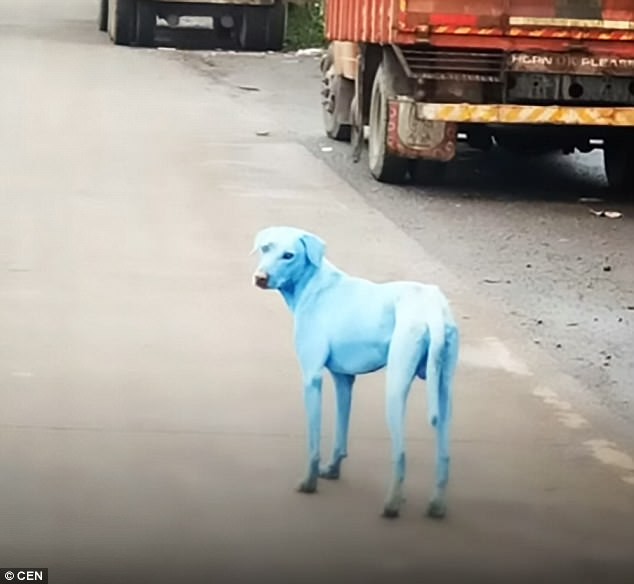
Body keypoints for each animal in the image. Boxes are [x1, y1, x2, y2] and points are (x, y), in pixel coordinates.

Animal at [251, 226, 460, 516]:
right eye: (266, 248)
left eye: (289, 255)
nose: (260, 278)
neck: (312, 284)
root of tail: (433, 310)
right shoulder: (344, 380)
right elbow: (341, 431)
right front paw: (332, 469)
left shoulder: (312, 379)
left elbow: (313, 443)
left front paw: (309, 483)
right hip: (444, 392)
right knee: (445, 454)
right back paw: (436, 506)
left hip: (395, 389)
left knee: (400, 454)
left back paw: (392, 504)